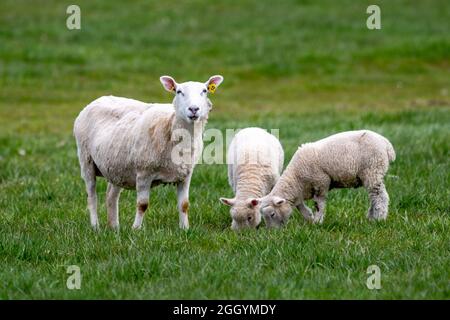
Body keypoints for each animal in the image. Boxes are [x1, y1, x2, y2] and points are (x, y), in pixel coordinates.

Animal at [73, 75, 225, 230]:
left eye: (205, 91)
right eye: (178, 91)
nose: (194, 109)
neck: (170, 127)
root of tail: (96, 100)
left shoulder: (185, 175)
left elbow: (184, 205)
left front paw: (185, 229)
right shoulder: (144, 173)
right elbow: (142, 205)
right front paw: (136, 229)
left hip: (117, 167)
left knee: (111, 196)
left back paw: (114, 227)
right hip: (86, 159)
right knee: (91, 196)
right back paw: (95, 226)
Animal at [255, 130, 396, 228]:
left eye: (272, 214)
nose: (272, 232)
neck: (296, 178)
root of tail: (387, 145)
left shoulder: (321, 183)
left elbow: (319, 204)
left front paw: (317, 222)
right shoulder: (301, 191)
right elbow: (300, 206)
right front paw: (309, 217)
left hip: (373, 170)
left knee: (380, 197)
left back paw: (379, 219)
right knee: (374, 197)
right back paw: (371, 217)